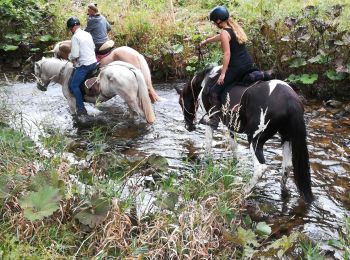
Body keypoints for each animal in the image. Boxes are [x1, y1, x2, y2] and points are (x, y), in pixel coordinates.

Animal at [176, 65, 314, 203]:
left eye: (181, 102)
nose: (188, 127)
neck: (207, 79)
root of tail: (290, 100)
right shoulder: (231, 125)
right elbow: (233, 146)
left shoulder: (210, 121)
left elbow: (208, 144)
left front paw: (206, 164)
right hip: (286, 137)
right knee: (287, 166)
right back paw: (284, 192)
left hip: (255, 139)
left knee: (260, 168)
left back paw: (244, 191)